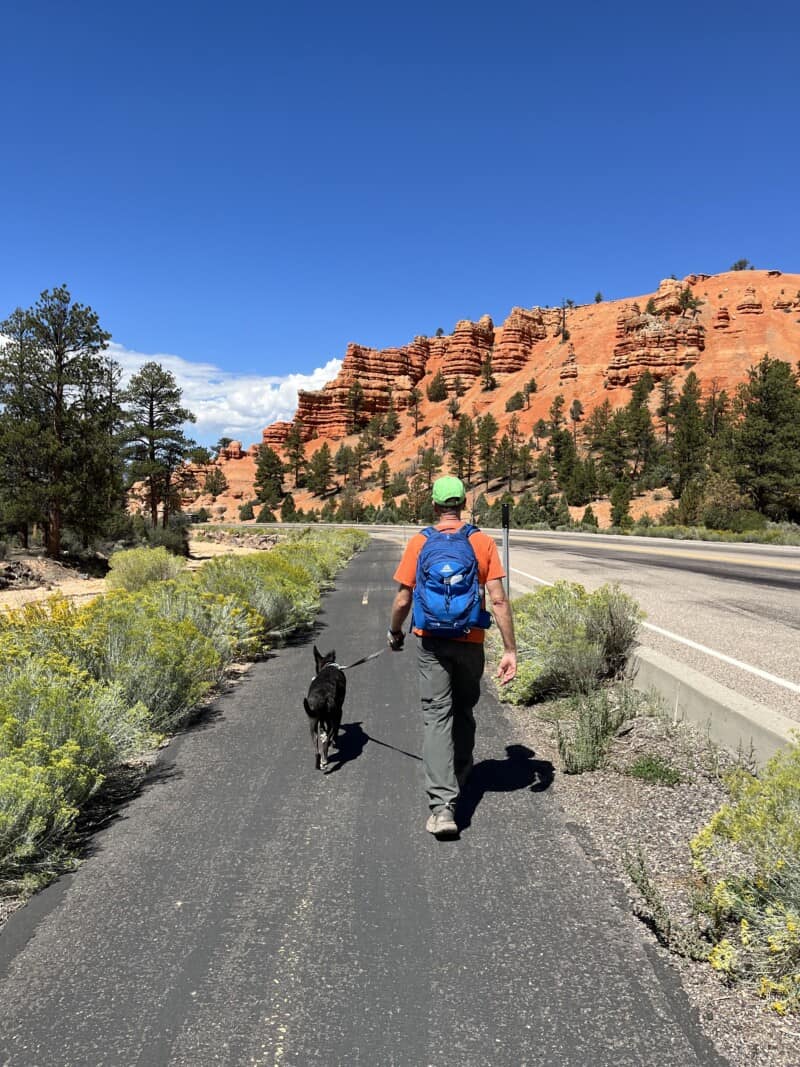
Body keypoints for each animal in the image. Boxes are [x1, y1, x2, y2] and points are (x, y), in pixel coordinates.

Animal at [305, 644, 345, 772]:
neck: (328, 664)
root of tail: (323, 696)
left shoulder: (321, 719)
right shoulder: (339, 713)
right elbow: (335, 732)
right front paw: (335, 742)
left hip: (312, 724)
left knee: (317, 750)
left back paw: (319, 764)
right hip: (333, 718)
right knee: (327, 742)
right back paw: (325, 760)